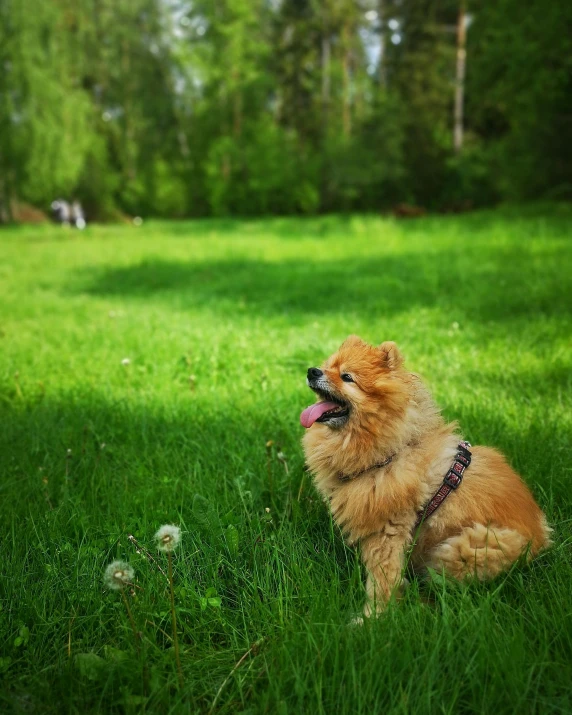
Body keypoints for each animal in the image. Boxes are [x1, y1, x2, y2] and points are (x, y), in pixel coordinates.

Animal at [302, 338, 552, 620]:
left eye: (347, 377)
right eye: (327, 366)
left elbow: (382, 579)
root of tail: (541, 540)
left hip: (464, 549)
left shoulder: (388, 531)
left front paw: (373, 617)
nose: (313, 371)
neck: (392, 451)